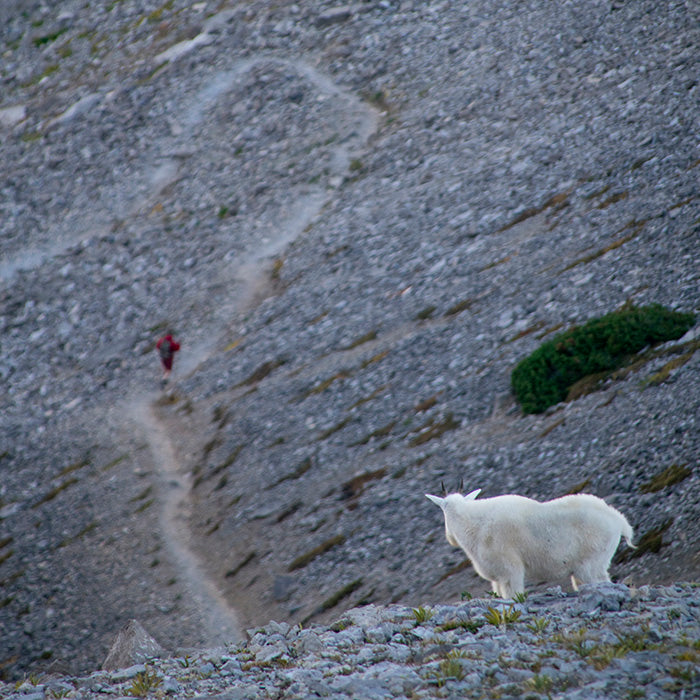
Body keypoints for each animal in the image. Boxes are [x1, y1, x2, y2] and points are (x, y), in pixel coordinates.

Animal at [426, 490, 636, 600]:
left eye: (443, 511)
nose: (450, 538)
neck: (474, 524)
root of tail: (619, 521)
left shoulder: (509, 567)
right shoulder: (496, 576)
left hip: (592, 559)